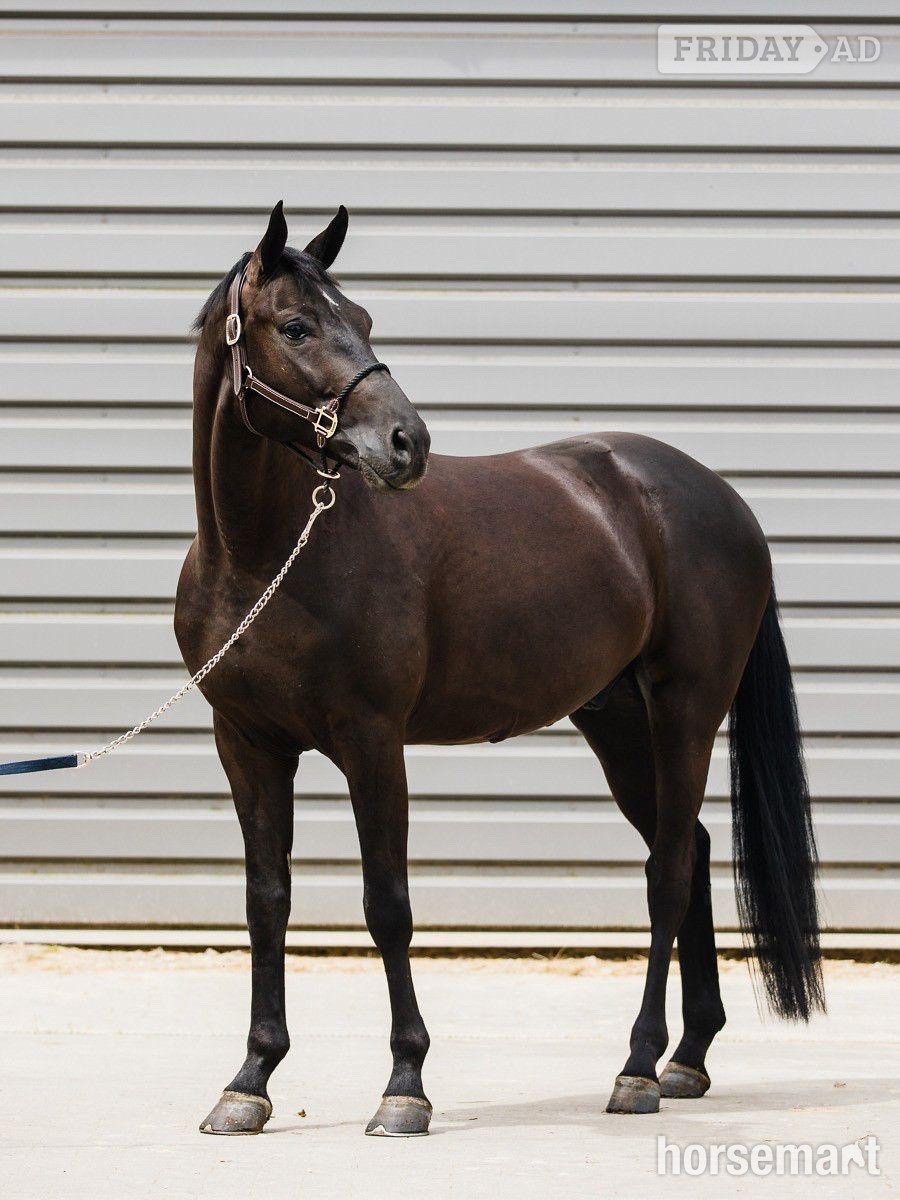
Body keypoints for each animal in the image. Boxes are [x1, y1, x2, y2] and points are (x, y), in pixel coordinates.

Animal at [175, 202, 824, 1138]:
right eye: (295, 326)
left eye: (363, 318)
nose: (407, 443)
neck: (266, 561)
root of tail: (722, 500)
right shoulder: (247, 745)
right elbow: (268, 901)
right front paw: (250, 1080)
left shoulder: (373, 744)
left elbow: (387, 905)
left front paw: (405, 1084)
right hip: (616, 720)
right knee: (692, 850)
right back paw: (687, 1057)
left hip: (687, 713)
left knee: (668, 869)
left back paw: (636, 1067)